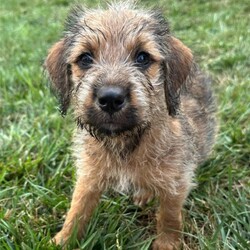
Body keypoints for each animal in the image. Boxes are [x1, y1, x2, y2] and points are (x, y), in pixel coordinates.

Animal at [45, 0, 217, 249]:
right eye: (85, 59)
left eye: (142, 58)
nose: (110, 98)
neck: (125, 141)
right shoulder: (89, 175)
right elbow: (77, 209)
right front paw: (63, 240)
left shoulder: (176, 180)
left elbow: (169, 216)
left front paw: (167, 243)